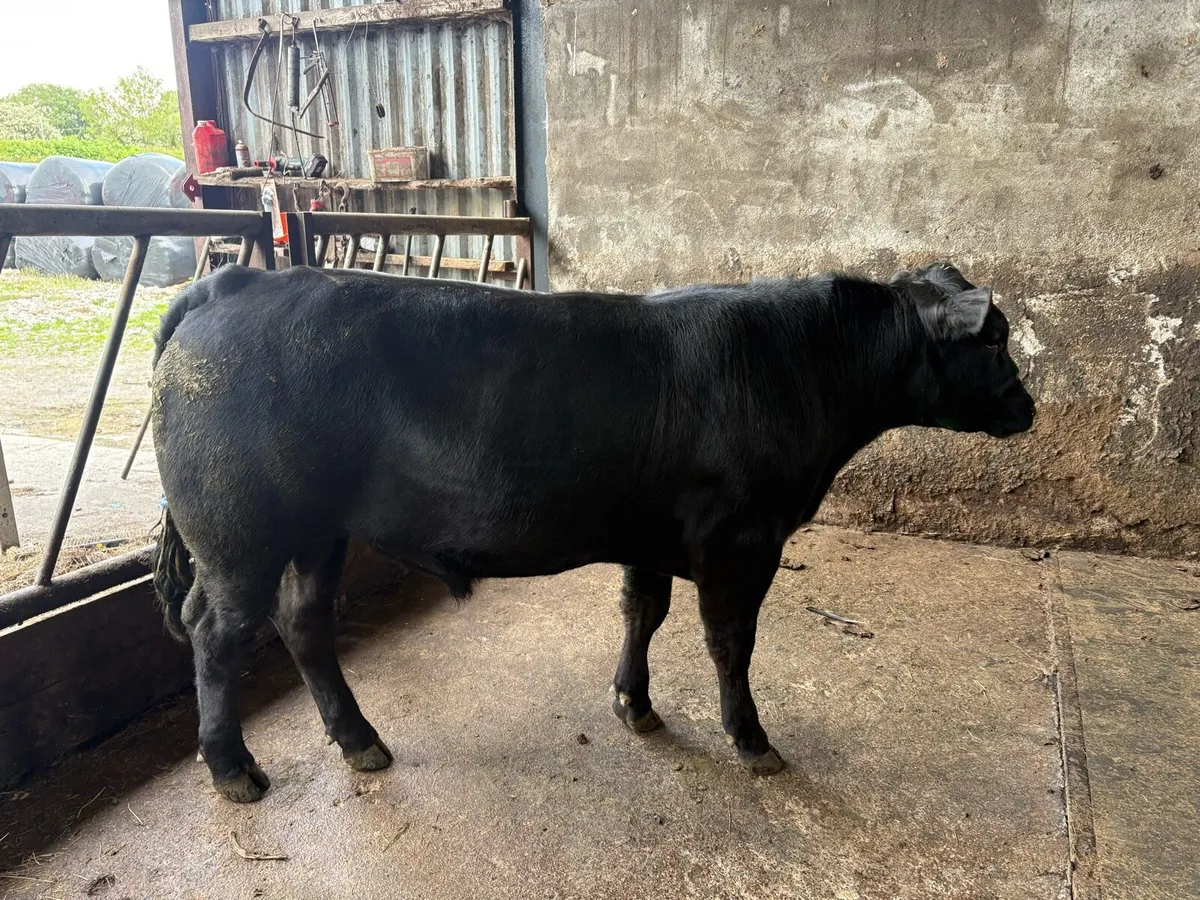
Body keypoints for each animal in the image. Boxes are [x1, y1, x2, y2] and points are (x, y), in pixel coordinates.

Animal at [151, 260, 1034, 803]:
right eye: (995, 338)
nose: (1028, 407)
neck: (799, 365)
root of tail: (235, 282)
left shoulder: (653, 533)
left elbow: (644, 611)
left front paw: (633, 703)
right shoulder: (742, 540)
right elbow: (730, 642)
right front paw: (752, 740)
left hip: (316, 532)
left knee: (302, 622)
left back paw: (358, 739)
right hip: (239, 535)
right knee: (218, 635)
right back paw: (233, 769)